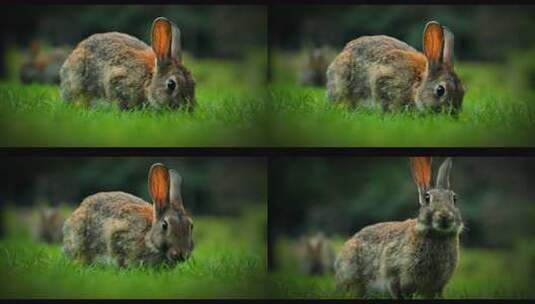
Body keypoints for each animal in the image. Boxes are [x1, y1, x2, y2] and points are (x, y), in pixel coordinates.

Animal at [336, 158, 464, 298]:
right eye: (427, 198)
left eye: (454, 199)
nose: (445, 216)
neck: (437, 234)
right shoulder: (395, 274)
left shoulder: (437, 286)